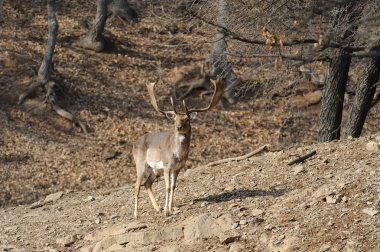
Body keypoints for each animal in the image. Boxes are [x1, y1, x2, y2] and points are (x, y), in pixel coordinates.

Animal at [133, 76, 224, 218]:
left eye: (187, 119)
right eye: (174, 119)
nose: (178, 127)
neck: (177, 155)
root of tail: (134, 143)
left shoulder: (177, 168)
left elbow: (174, 186)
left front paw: (169, 209)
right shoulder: (166, 166)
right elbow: (167, 187)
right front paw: (167, 212)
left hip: (155, 170)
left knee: (147, 184)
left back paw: (157, 208)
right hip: (140, 163)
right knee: (137, 186)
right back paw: (136, 214)